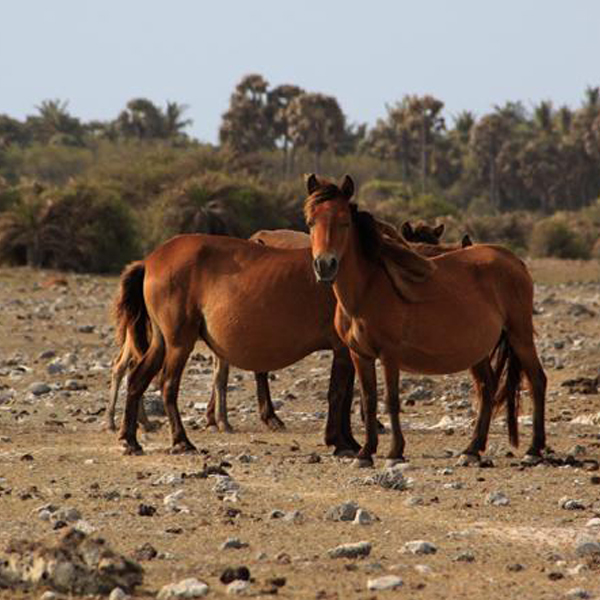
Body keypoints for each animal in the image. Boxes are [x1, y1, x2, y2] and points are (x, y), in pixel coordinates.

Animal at [308, 173, 548, 468]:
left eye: (344, 222)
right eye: (310, 222)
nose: (324, 265)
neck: (366, 290)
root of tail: (514, 260)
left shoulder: (389, 354)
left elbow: (391, 400)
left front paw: (395, 451)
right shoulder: (359, 355)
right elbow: (368, 400)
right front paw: (365, 452)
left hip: (519, 334)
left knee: (537, 380)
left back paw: (533, 449)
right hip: (479, 349)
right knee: (487, 387)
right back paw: (472, 449)